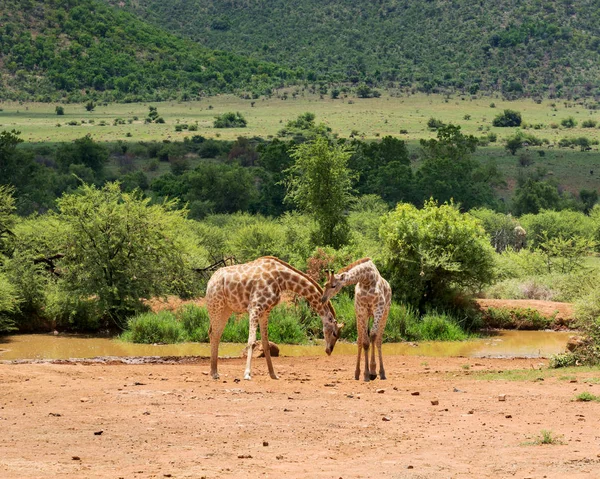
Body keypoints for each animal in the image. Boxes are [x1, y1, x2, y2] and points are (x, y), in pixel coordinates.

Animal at [205, 256, 342, 380]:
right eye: (334, 333)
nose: (329, 351)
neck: (281, 279)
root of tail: (210, 281)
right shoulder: (254, 307)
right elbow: (252, 341)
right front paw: (247, 374)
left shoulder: (265, 311)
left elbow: (265, 343)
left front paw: (273, 374)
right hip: (216, 305)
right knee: (213, 333)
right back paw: (214, 373)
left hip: (226, 309)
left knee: (215, 334)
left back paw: (214, 372)